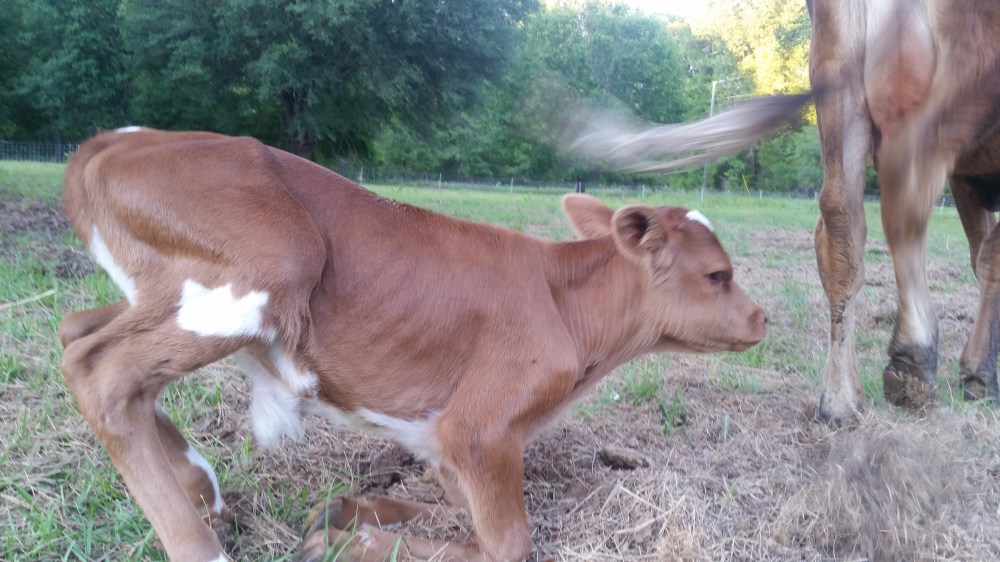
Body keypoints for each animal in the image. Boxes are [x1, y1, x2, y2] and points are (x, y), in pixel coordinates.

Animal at [58, 127, 767, 561]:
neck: (567, 306)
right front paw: (353, 545)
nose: (762, 319)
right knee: (104, 373)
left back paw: (203, 490)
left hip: (169, 295)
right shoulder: (479, 427)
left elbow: (444, 508)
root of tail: (121, 138)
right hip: (266, 267)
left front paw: (350, 514)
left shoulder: (443, 439)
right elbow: (507, 545)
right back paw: (202, 544)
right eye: (717, 275)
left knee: (80, 335)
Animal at [565, 0, 1000, 424]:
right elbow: (989, 256)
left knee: (841, 219)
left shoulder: (967, 180)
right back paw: (911, 362)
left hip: (838, 67)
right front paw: (981, 374)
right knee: (904, 199)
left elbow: (981, 253)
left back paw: (841, 399)